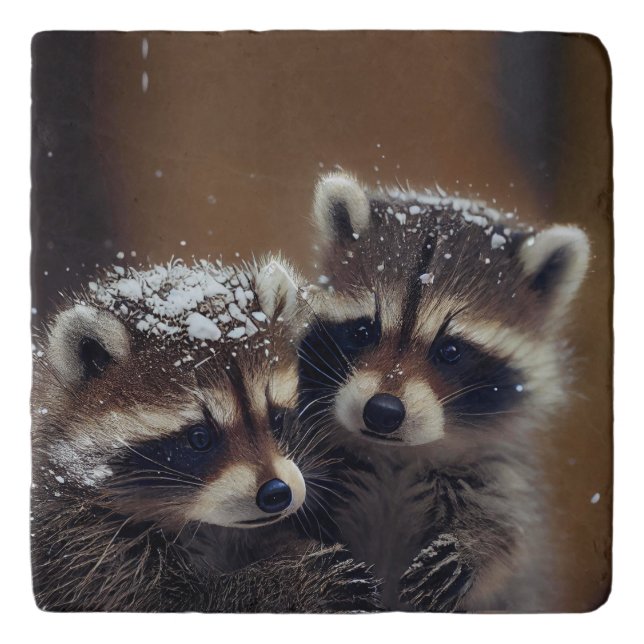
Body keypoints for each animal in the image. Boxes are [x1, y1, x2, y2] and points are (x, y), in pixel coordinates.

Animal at [31, 255, 379, 612]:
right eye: (199, 438)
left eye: (276, 420)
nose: (276, 493)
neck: (203, 525)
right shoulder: (81, 540)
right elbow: (174, 601)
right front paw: (288, 580)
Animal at [297, 172, 590, 611]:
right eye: (364, 332)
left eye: (450, 351)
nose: (382, 411)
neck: (397, 456)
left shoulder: (498, 468)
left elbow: (509, 530)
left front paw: (473, 545)